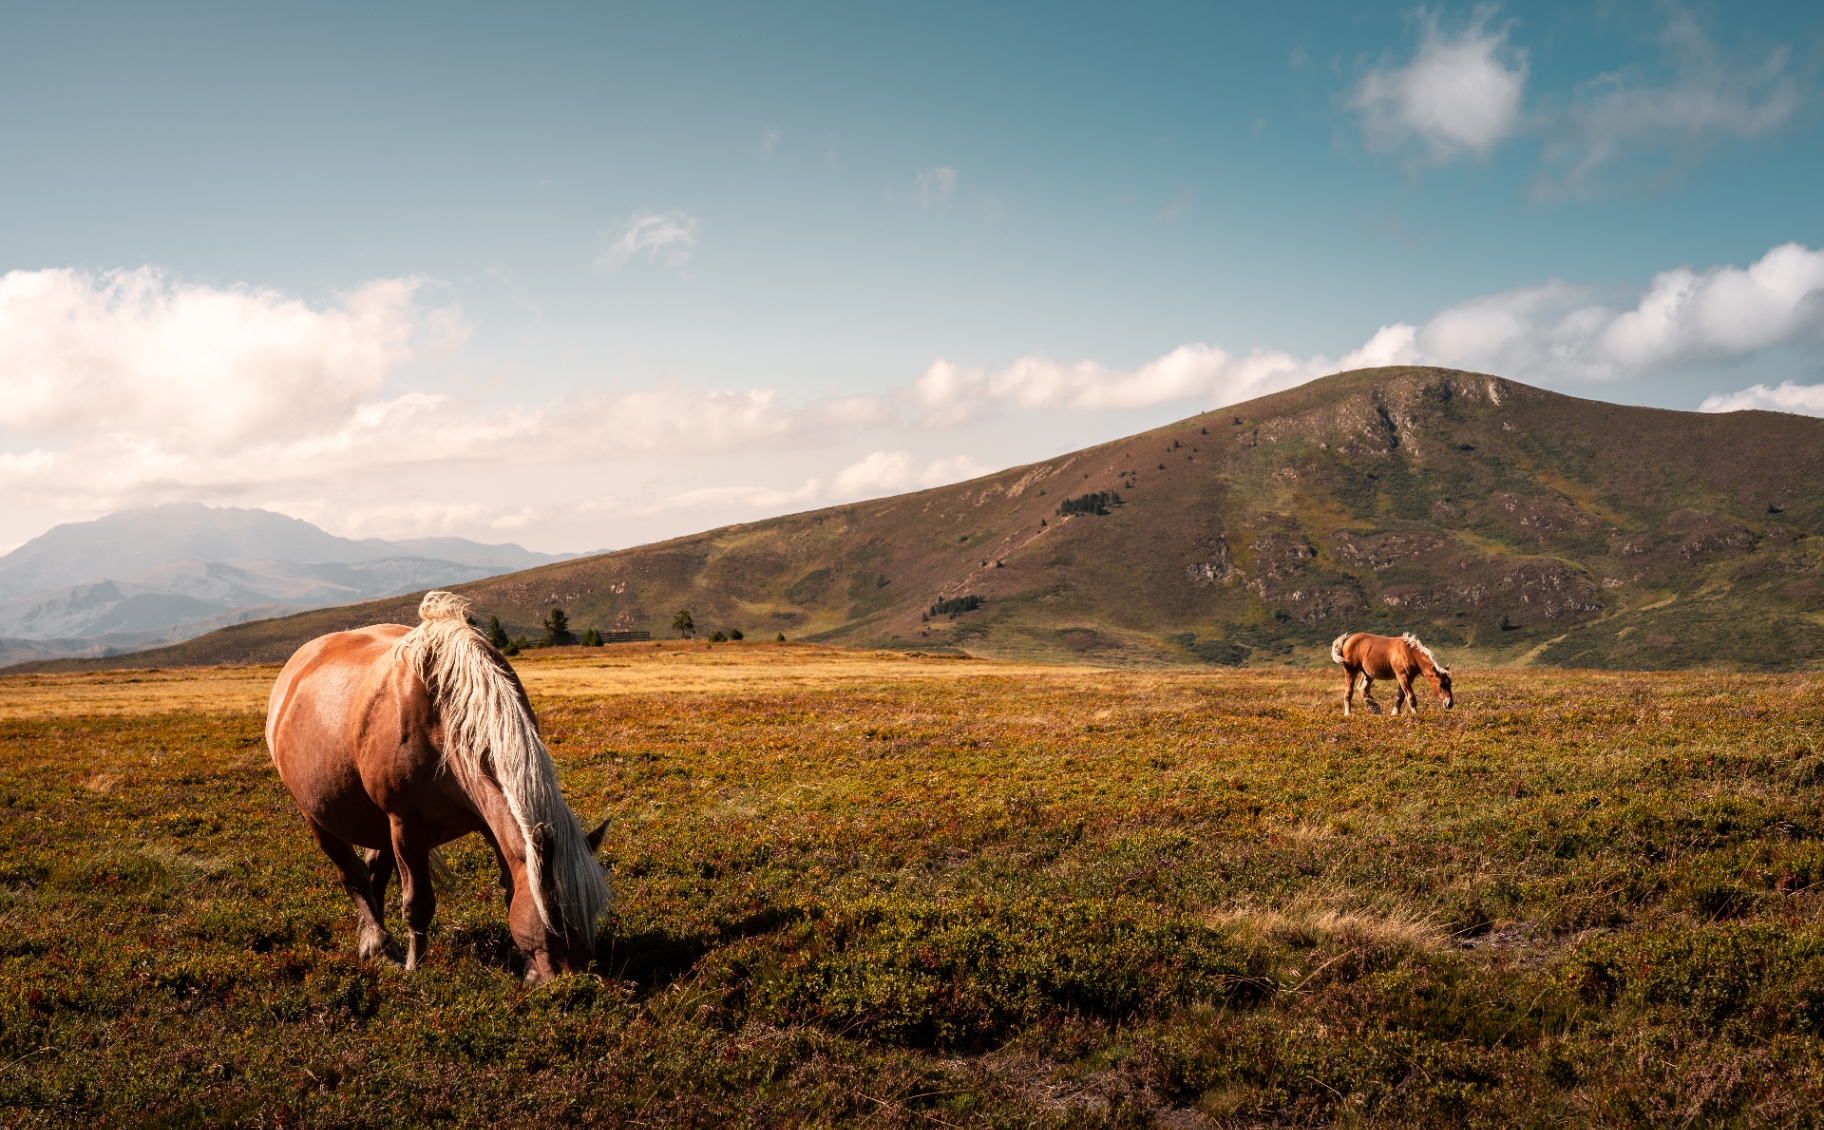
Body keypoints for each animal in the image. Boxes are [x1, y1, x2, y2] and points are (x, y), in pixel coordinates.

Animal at [266, 591, 610, 983]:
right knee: (352, 876)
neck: (443, 718)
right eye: (553, 919)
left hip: (379, 826)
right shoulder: (406, 827)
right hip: (318, 818)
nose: (577, 983)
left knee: (373, 873)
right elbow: (417, 904)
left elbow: (510, 886)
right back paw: (378, 943)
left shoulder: (485, 820)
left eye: (592, 912)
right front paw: (415, 967)